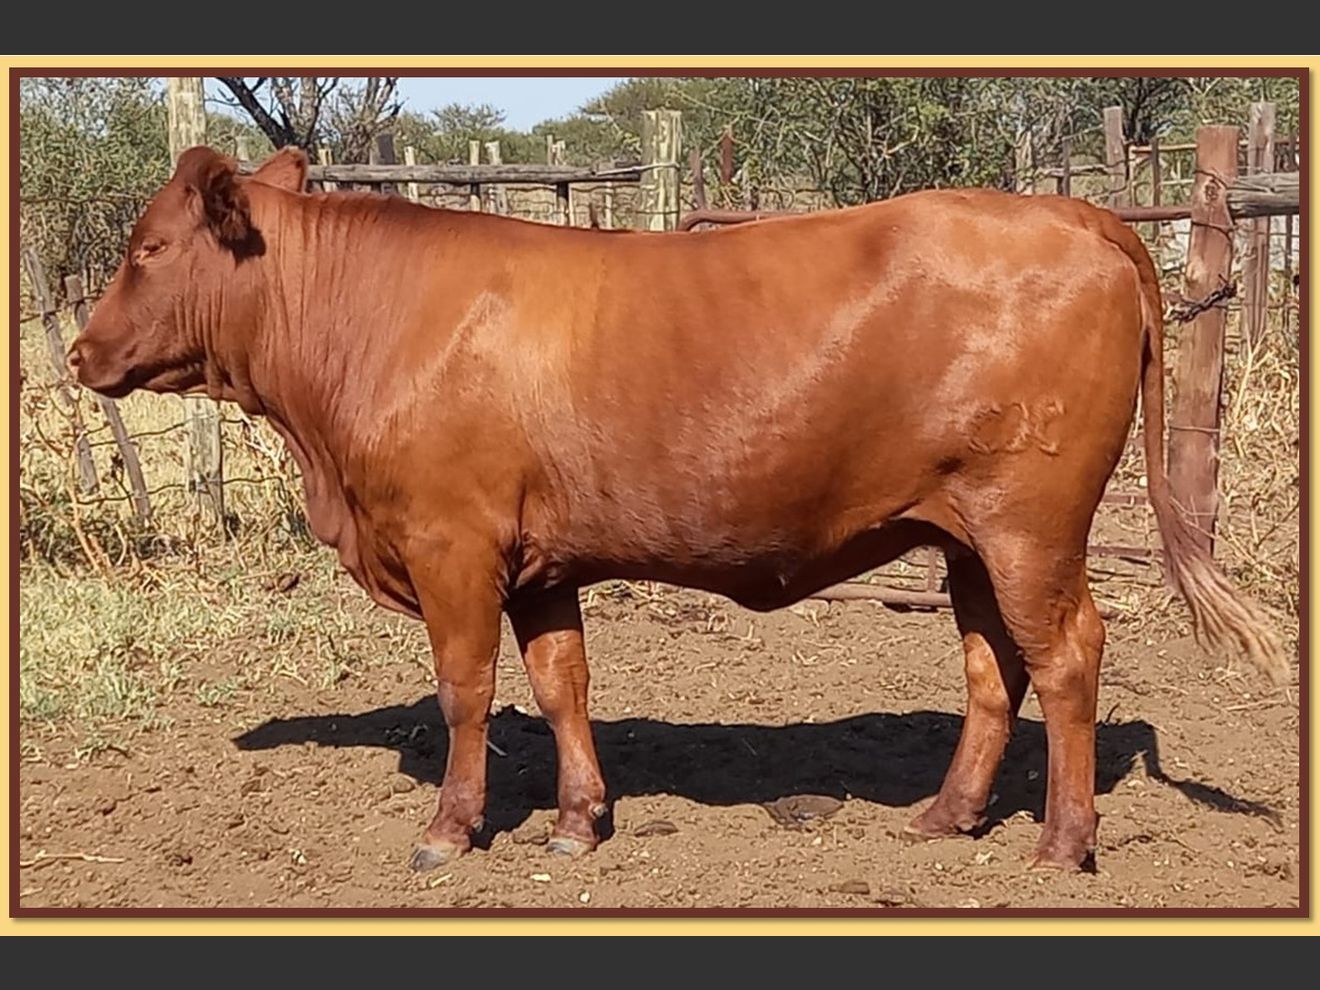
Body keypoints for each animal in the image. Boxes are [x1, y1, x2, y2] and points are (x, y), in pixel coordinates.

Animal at [68, 146, 1287, 874]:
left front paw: (450, 832)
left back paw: (1062, 845)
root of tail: (1077, 214)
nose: (78, 353)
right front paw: (576, 825)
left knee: (1069, 656)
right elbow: (561, 686)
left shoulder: (452, 543)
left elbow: (466, 694)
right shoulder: (540, 562)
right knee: (997, 665)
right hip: (965, 537)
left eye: (147, 248)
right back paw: (947, 815)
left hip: (1032, 525)